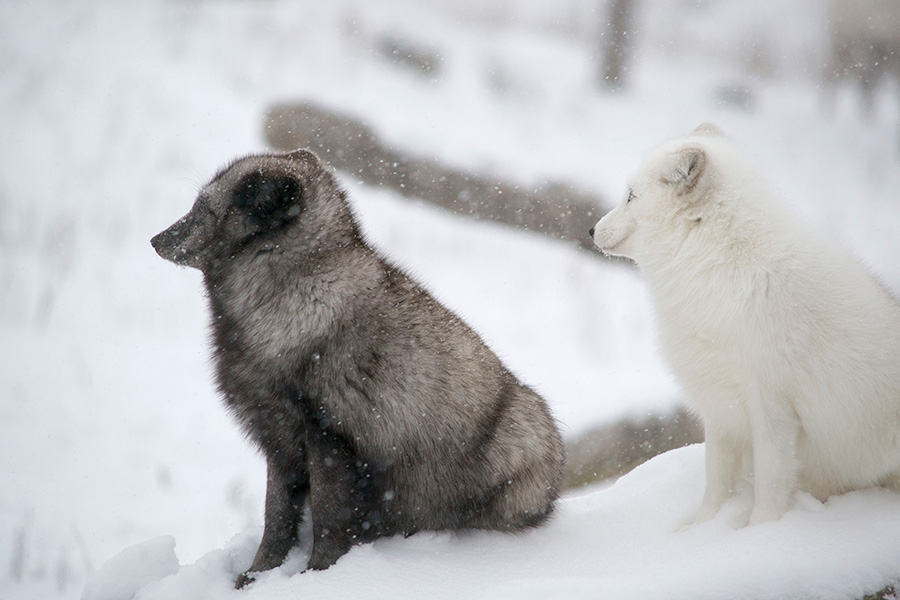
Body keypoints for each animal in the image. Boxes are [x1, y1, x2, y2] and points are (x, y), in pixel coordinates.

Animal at [151, 149, 568, 584]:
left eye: (203, 210)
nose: (155, 240)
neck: (290, 294)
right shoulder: (279, 439)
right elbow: (276, 517)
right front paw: (256, 576)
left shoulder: (328, 435)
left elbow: (328, 518)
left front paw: (318, 575)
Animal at [592, 125, 900, 524]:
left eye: (630, 196)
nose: (589, 230)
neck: (722, 267)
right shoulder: (720, 407)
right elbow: (716, 480)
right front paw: (702, 528)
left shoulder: (772, 407)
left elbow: (770, 483)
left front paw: (761, 529)